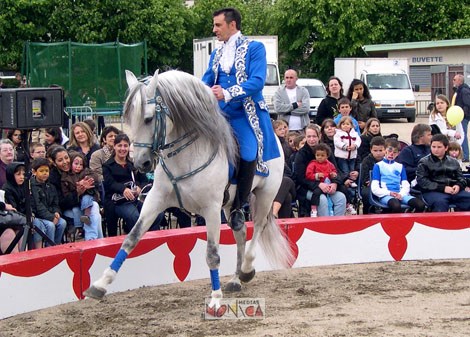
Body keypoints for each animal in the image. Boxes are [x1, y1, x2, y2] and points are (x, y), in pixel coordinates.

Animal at [82, 69, 292, 306]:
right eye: (128, 119)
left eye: (148, 118)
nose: (140, 163)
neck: (185, 157)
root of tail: (277, 138)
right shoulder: (155, 199)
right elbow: (131, 238)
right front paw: (100, 284)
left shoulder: (211, 209)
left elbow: (212, 254)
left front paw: (215, 299)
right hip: (231, 203)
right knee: (241, 232)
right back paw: (236, 279)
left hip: (265, 195)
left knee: (257, 227)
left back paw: (246, 270)